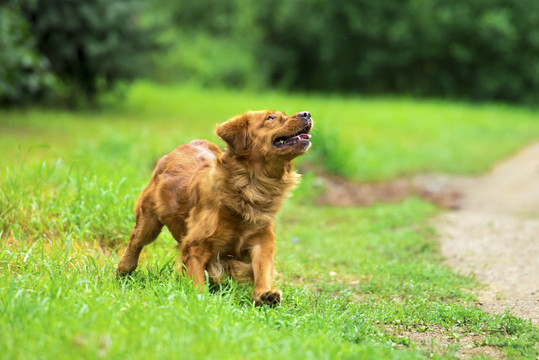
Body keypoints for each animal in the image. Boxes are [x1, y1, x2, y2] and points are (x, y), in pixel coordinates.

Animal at [116, 110, 314, 306]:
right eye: (270, 118)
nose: (306, 113)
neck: (250, 187)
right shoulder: (196, 246)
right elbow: (197, 279)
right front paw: (201, 299)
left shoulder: (262, 240)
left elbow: (262, 269)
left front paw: (265, 294)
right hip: (149, 222)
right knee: (135, 241)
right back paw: (123, 270)